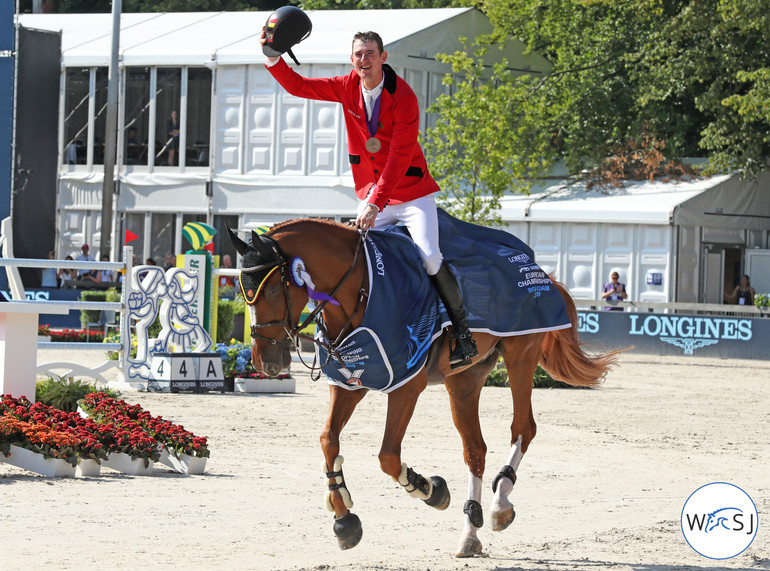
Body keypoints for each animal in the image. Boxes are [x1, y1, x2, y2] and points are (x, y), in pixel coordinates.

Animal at [228, 220, 616, 560]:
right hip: (465, 379)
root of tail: (539, 271)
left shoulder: (406, 386)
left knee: (523, 428)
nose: (266, 363)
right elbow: (328, 440)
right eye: (244, 292)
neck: (362, 289)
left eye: (273, 289)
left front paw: (429, 489)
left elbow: (387, 456)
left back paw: (499, 505)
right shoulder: (350, 381)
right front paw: (344, 518)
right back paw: (470, 534)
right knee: (475, 449)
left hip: (520, 355)